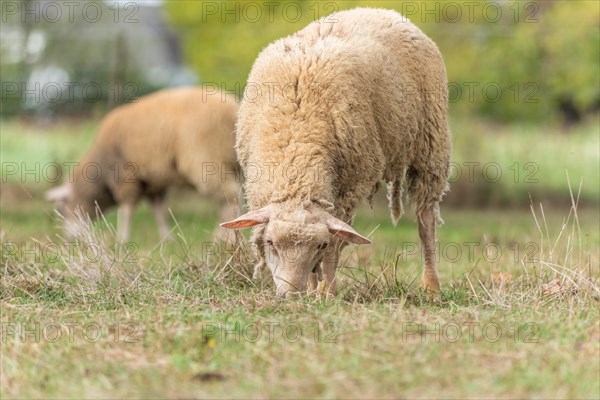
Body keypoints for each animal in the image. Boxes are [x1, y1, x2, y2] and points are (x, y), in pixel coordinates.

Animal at [46, 87, 241, 242]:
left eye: (62, 209)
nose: (69, 239)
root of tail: (231, 110)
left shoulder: (124, 177)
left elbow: (127, 210)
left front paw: (122, 238)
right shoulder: (154, 182)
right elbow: (158, 210)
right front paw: (167, 237)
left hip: (206, 160)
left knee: (230, 195)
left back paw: (223, 237)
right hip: (234, 163)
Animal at [223, 7, 452, 298]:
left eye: (319, 246)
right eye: (270, 241)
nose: (291, 295)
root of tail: (382, 11)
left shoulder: (349, 187)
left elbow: (333, 247)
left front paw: (327, 292)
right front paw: (314, 288)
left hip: (430, 146)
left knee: (426, 221)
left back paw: (431, 285)